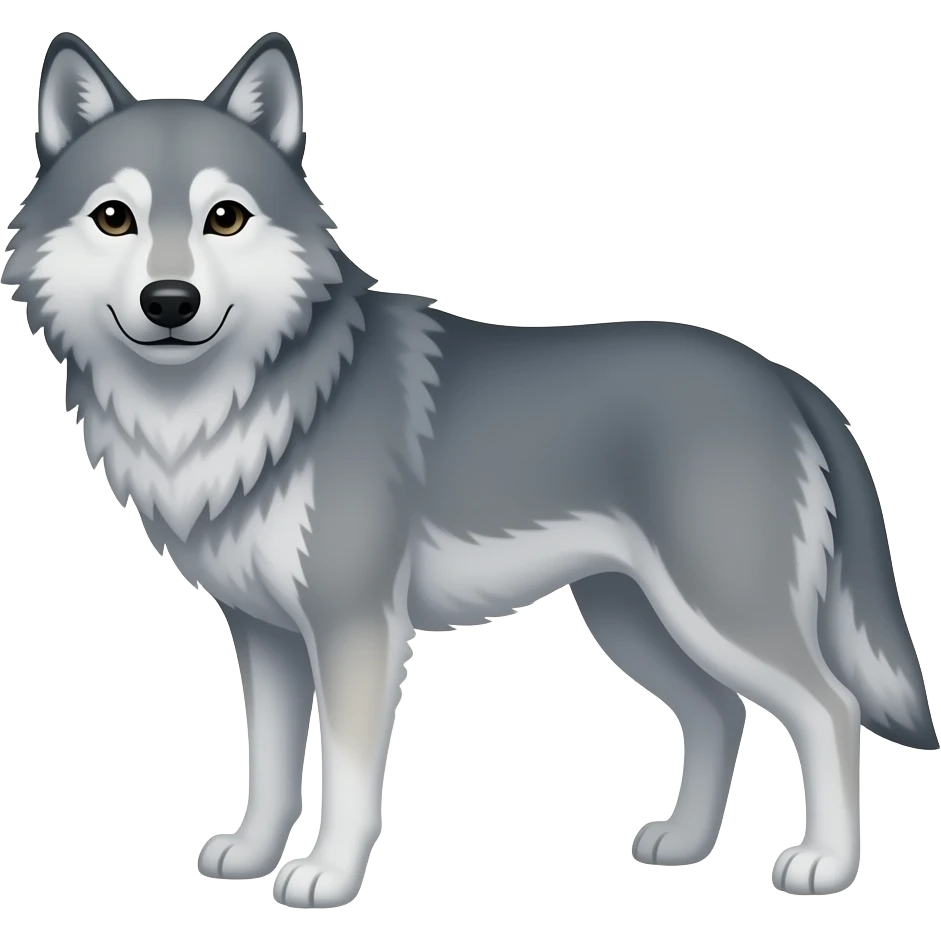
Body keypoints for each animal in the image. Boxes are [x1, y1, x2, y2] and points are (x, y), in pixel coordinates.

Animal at [3, 29, 936, 909]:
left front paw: (326, 877)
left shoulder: (355, 628)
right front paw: (251, 855)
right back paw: (683, 844)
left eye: (225, 218)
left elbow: (347, 777)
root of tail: (783, 378)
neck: (239, 403)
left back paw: (823, 864)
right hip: (633, 618)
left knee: (829, 708)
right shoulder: (264, 636)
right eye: (115, 217)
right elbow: (267, 765)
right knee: (720, 712)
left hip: (717, 613)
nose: (170, 302)